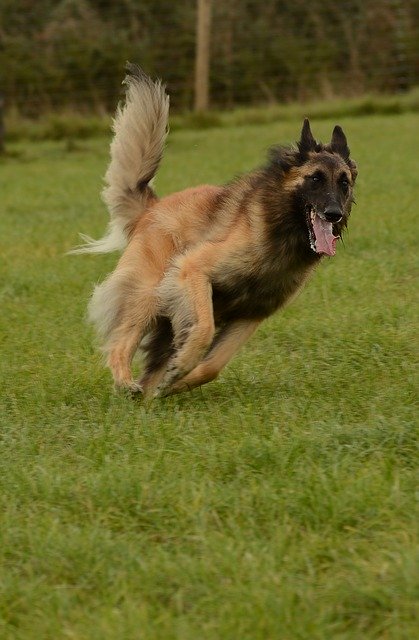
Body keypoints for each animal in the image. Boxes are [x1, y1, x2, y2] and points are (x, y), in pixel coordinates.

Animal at [73, 63, 358, 396]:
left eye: (343, 183)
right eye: (315, 179)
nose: (334, 214)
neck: (280, 235)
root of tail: (150, 208)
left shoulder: (252, 313)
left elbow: (213, 365)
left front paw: (176, 382)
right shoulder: (194, 270)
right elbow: (204, 329)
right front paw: (180, 368)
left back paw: (148, 393)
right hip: (150, 293)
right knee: (120, 343)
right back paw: (126, 383)